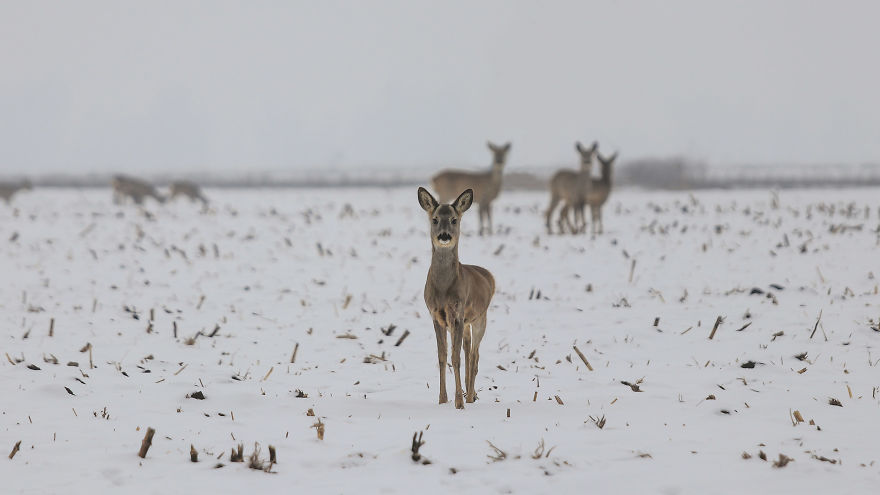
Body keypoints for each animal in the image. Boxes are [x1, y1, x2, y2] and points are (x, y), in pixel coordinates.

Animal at [417, 187, 495, 409]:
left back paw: (470, 396)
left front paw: (459, 402)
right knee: (468, 350)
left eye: (454, 219)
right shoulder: (436, 315)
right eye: (435, 219)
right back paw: (471, 393)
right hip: (466, 322)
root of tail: (488, 275)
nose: (444, 236)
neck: (443, 290)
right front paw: (442, 399)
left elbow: (456, 357)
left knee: (474, 355)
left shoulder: (457, 314)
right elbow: (443, 356)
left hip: (480, 319)